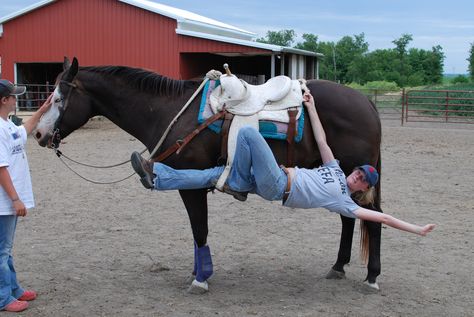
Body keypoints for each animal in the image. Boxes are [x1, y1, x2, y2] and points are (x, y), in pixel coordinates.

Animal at [34, 57, 382, 292]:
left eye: (58, 97)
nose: (38, 133)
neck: (172, 113)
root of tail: (366, 101)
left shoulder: (191, 185)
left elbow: (199, 229)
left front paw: (201, 279)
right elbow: (195, 231)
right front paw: (198, 271)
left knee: (371, 217)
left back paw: (372, 277)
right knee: (348, 217)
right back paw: (338, 266)